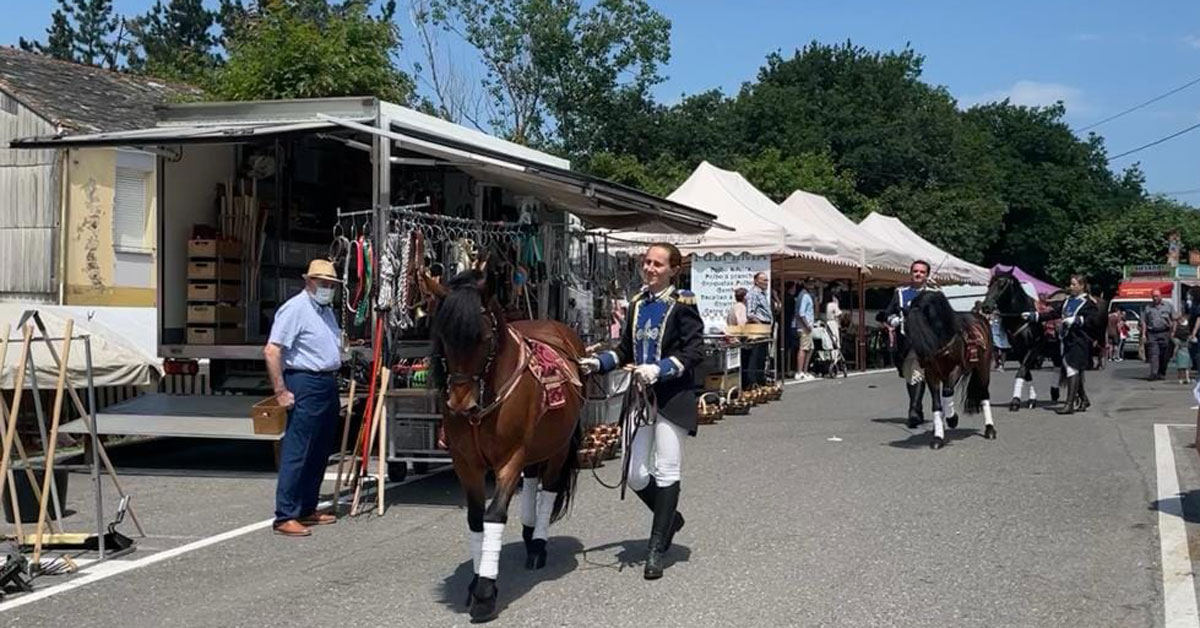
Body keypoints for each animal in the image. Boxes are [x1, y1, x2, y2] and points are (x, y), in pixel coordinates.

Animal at [429, 270, 583, 624]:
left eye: (484, 337)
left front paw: (486, 593)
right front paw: (475, 581)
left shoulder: (509, 458)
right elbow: (475, 519)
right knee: (532, 479)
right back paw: (528, 532)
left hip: (558, 447)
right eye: (443, 336)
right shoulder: (466, 463)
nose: (460, 403)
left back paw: (538, 544)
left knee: (548, 487)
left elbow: (494, 514)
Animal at [902, 292, 998, 449]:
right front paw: (938, 436)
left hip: (982, 368)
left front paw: (952, 419)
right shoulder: (931, 373)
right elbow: (936, 403)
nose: (923, 360)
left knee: (984, 393)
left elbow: (947, 392)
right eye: (908, 331)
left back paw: (989, 429)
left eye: (925, 330)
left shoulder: (957, 368)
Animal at [984, 270, 1051, 413]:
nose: (986, 307)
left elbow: (1021, 371)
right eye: (989, 284)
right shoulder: (1019, 350)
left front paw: (1015, 402)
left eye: (1002, 284)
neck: (1021, 317)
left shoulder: (1034, 347)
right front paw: (1030, 400)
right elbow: (1026, 372)